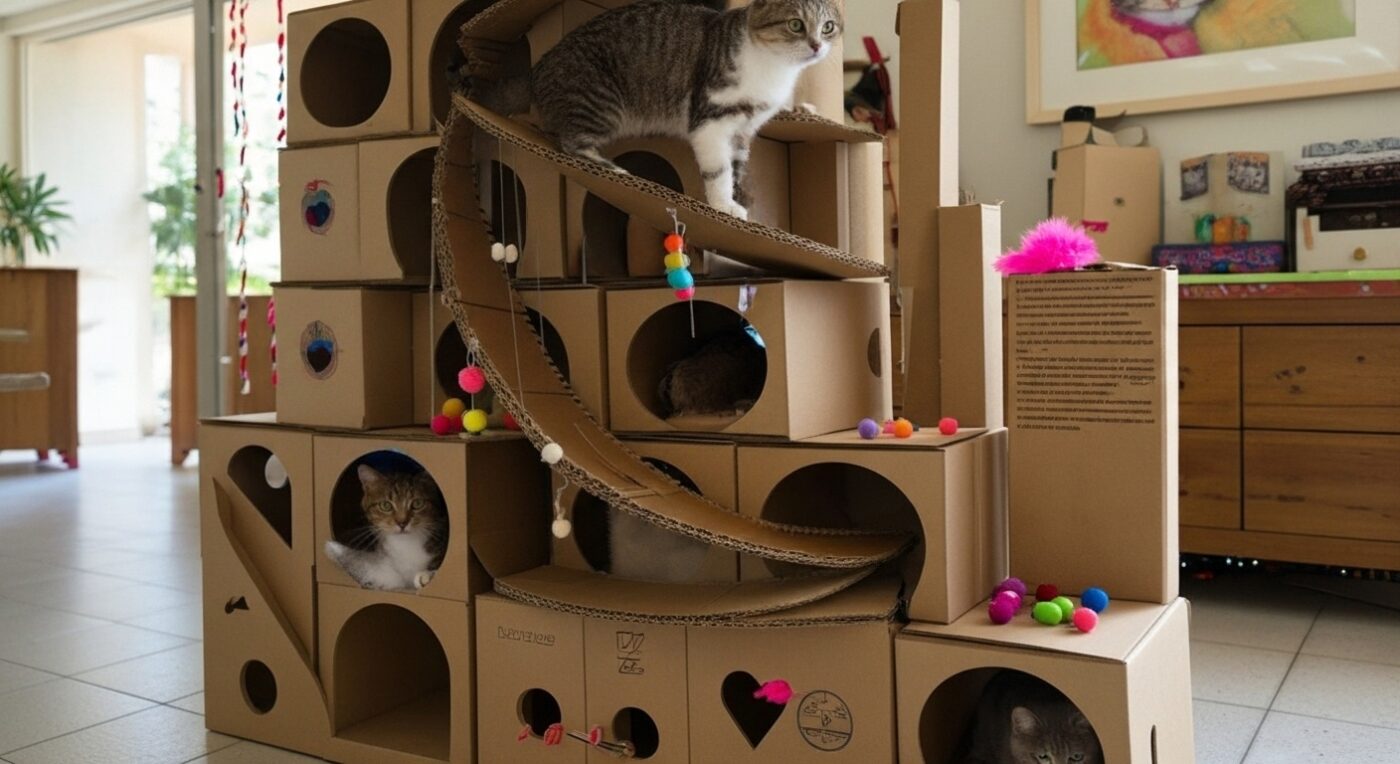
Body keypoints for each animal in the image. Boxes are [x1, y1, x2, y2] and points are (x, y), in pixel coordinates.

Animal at [482, 0, 843, 220]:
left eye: (828, 27)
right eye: (795, 24)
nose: (816, 46)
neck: (772, 68)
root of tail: (539, 68)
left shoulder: (743, 130)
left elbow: (738, 168)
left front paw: (740, 202)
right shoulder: (710, 120)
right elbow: (719, 171)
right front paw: (723, 205)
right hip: (601, 102)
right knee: (572, 142)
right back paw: (614, 168)